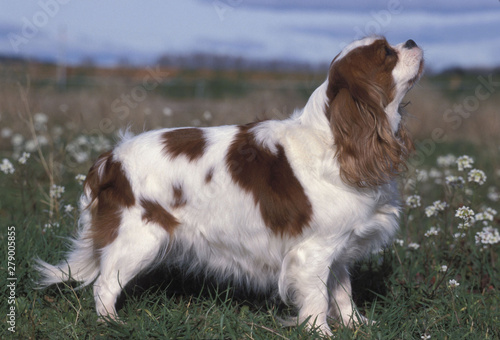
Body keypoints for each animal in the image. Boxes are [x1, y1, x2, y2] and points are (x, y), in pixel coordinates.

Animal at [37, 36, 424, 334]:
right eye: (386, 53)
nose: (411, 41)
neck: (337, 141)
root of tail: (109, 160)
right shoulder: (313, 251)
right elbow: (317, 299)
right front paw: (321, 332)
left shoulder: (340, 248)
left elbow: (342, 293)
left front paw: (356, 325)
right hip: (138, 240)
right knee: (104, 285)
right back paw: (111, 324)